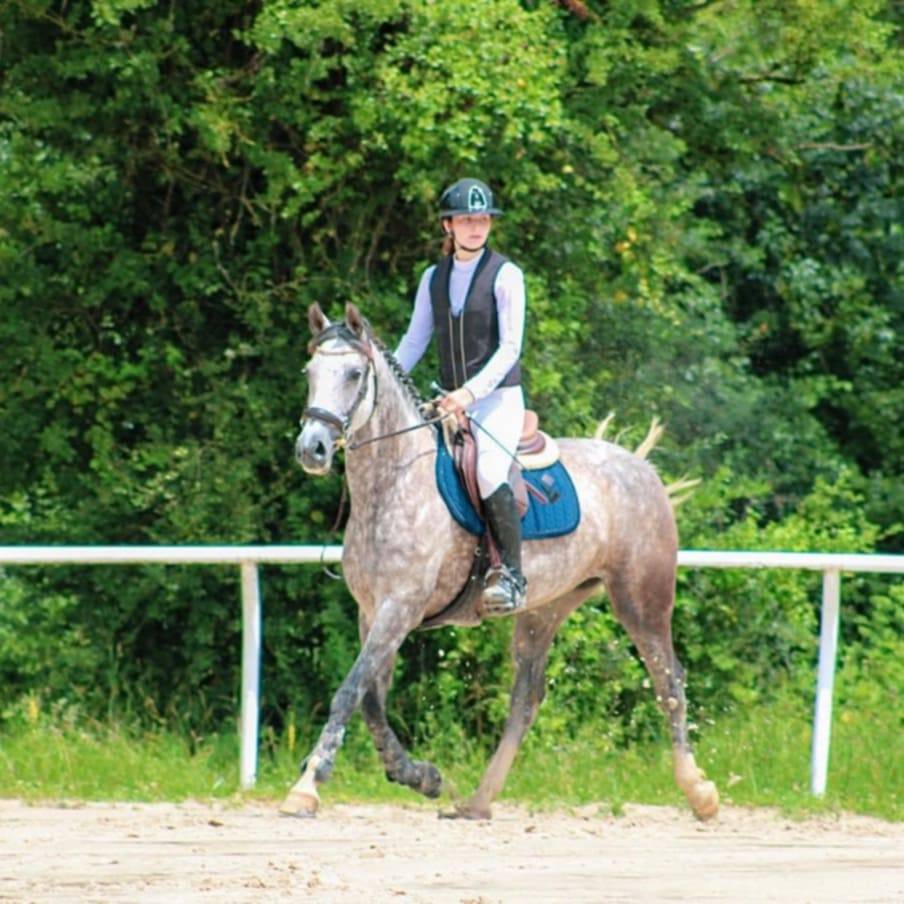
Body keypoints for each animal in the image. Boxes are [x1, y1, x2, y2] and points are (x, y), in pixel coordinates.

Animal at [282, 301, 719, 822]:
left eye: (353, 374)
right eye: (309, 372)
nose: (312, 449)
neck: (391, 484)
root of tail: (639, 465)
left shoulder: (400, 608)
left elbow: (349, 691)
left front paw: (308, 783)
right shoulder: (372, 612)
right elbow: (372, 702)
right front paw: (419, 775)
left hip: (641, 601)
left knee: (669, 681)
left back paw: (699, 791)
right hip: (543, 610)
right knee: (526, 698)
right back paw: (478, 800)